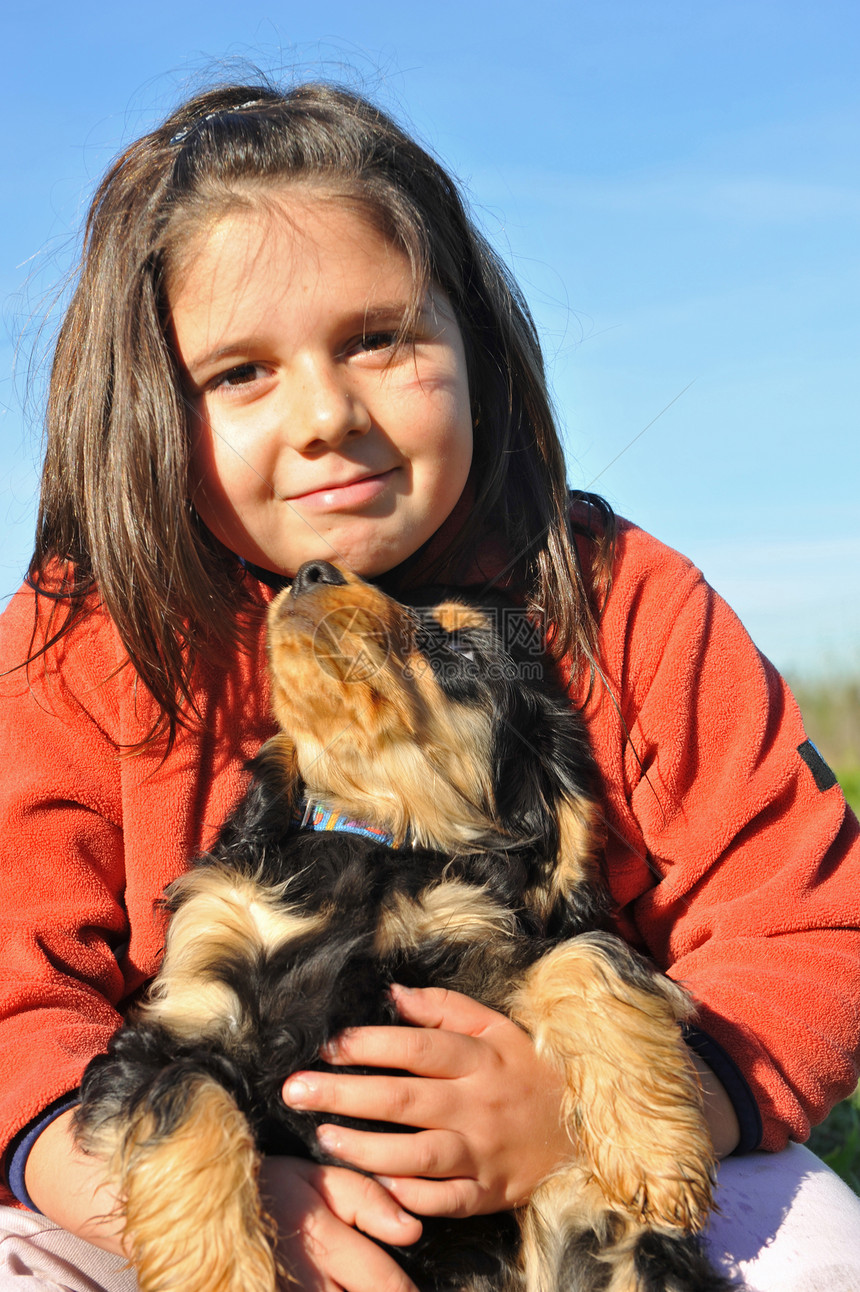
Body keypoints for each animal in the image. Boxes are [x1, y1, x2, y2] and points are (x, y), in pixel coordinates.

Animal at [75, 563, 728, 1292]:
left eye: (461, 650)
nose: (313, 570)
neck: (372, 837)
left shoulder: (469, 957)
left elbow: (585, 955)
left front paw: (658, 1156)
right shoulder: (181, 1018)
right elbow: (185, 1100)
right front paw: (222, 1276)